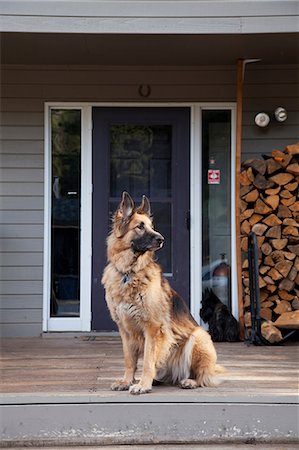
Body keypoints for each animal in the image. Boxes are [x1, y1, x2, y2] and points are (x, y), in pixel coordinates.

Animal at [102, 192, 224, 396]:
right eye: (140, 226)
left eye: (152, 226)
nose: (161, 239)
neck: (130, 272)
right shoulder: (125, 331)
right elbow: (129, 361)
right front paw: (127, 381)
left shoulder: (152, 329)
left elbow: (147, 362)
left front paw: (142, 384)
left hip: (198, 338)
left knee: (202, 376)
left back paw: (189, 381)